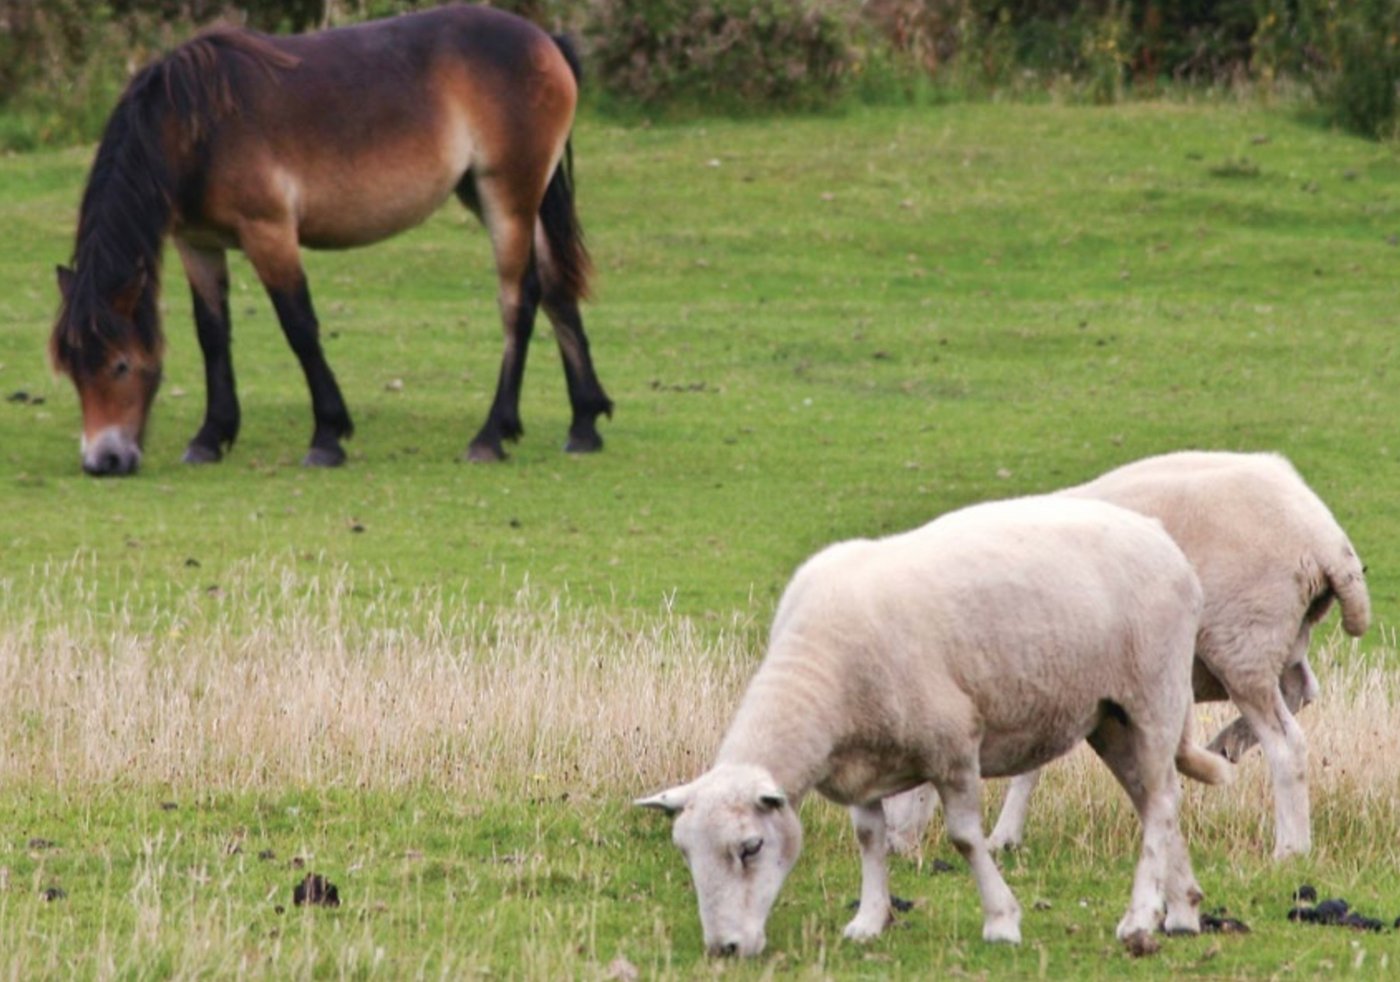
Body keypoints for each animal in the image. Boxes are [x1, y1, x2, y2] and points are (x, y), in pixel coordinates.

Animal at [50, 3, 612, 476]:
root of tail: (544, 41)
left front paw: (327, 436)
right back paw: (584, 424)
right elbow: (213, 334)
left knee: (520, 301)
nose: (103, 460)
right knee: (557, 290)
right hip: (499, 196)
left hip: (507, 197)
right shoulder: (199, 244)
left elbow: (299, 327)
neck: (195, 126)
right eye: (71, 369)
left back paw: (491, 436)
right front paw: (211, 437)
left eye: (120, 365)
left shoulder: (269, 232)